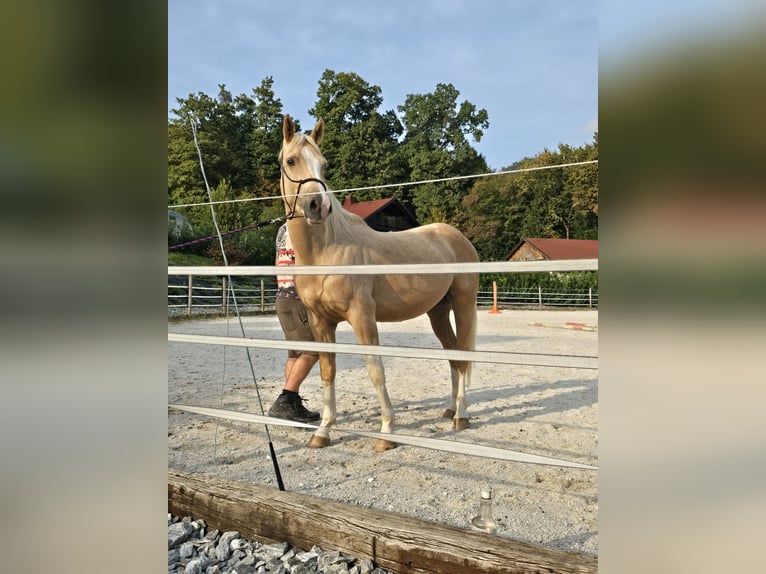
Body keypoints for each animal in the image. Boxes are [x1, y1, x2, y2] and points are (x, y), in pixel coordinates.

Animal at [279, 114, 479, 451]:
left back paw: (461, 416)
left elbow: (376, 370)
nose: (318, 206)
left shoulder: (362, 316)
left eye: (324, 164)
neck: (327, 249)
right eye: (291, 160)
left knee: (463, 357)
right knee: (453, 354)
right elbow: (327, 372)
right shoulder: (320, 322)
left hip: (464, 305)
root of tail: (456, 237)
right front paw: (323, 431)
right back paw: (451, 409)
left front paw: (386, 432)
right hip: (438, 311)